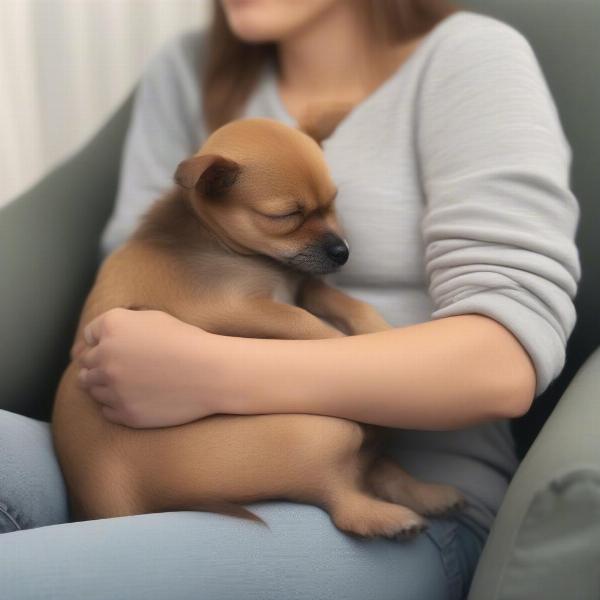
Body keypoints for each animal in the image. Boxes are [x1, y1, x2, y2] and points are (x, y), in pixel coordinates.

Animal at [52, 117, 464, 540]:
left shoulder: (302, 284)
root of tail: (114, 509)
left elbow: (346, 302)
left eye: (332, 203)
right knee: (338, 494)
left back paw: (428, 494)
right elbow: (307, 321)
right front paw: (348, 343)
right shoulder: (238, 307)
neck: (214, 238)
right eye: (286, 216)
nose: (342, 252)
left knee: (371, 466)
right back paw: (390, 516)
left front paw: (377, 330)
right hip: (318, 433)